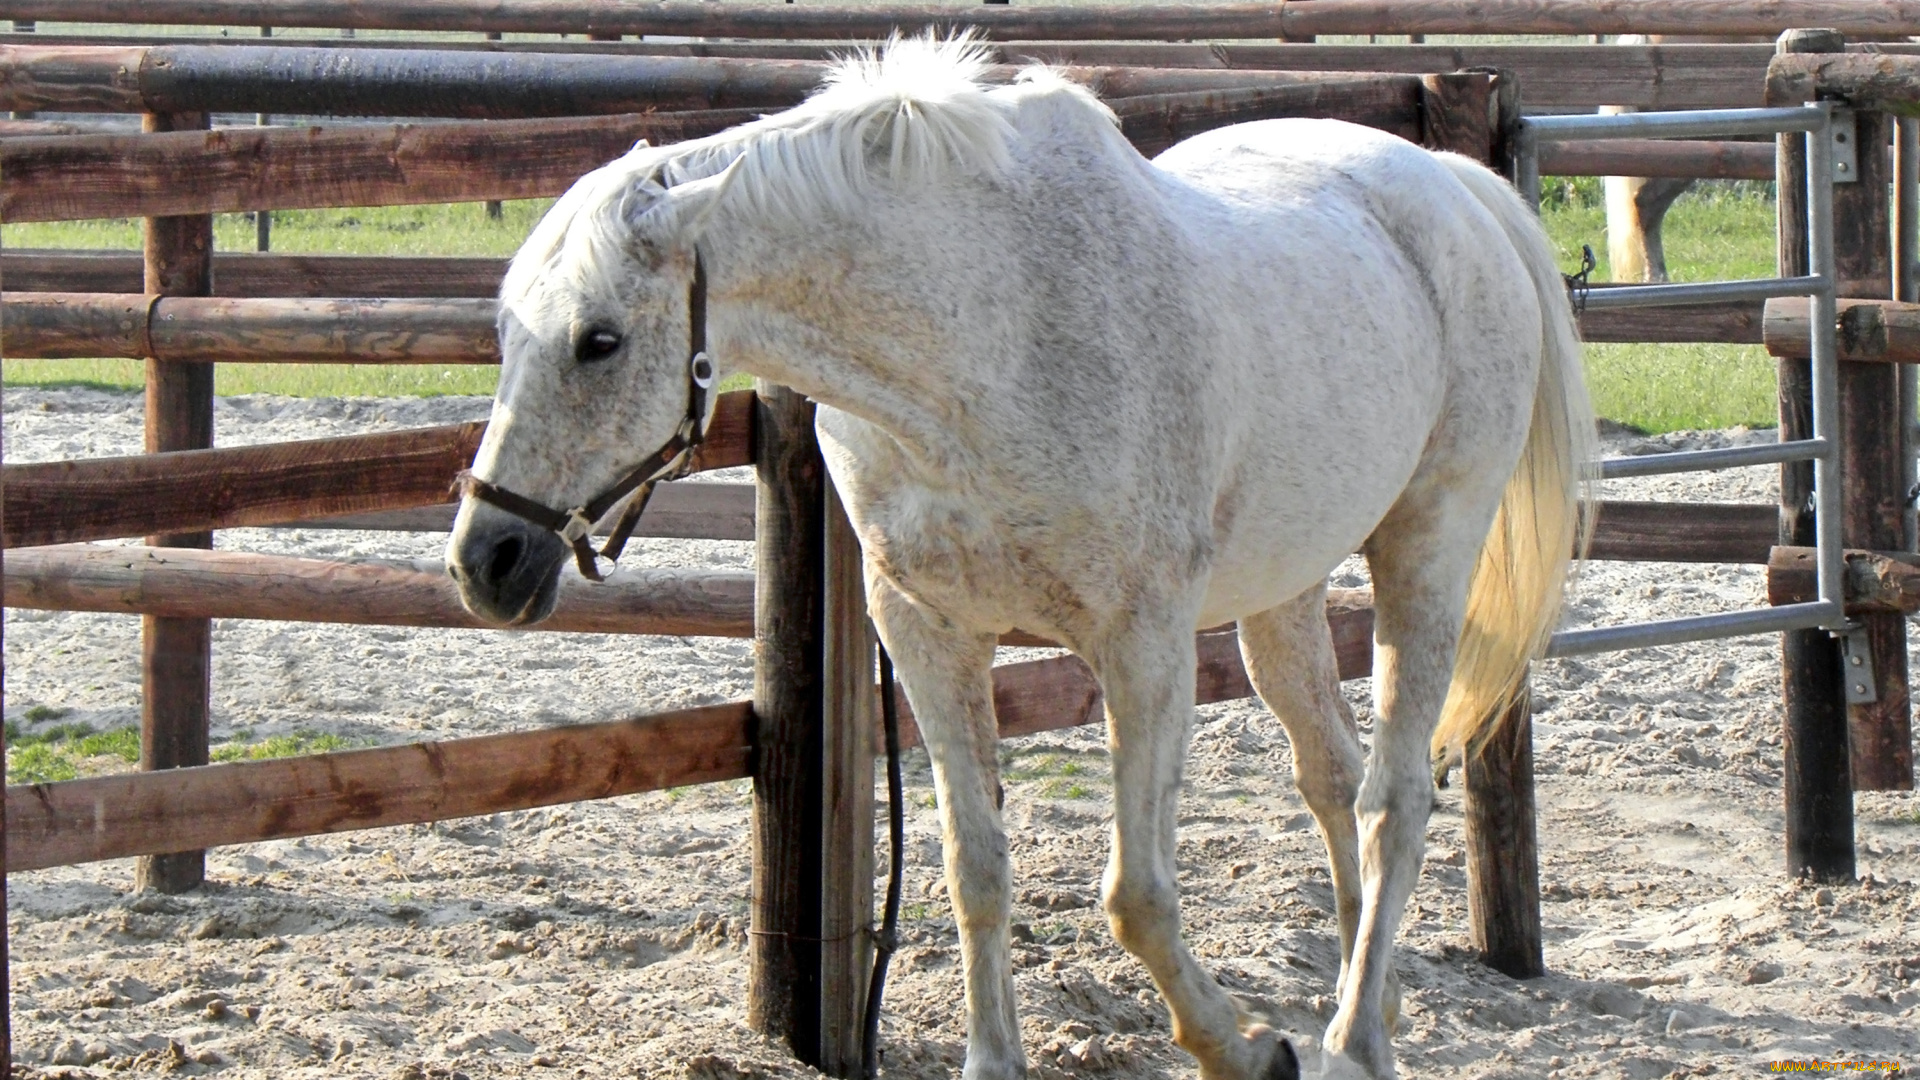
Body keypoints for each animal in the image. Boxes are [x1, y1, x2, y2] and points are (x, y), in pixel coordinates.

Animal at [445, 35, 1589, 1076]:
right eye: (505, 331)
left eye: (599, 339)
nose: (486, 560)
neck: (983, 338)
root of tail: (1447, 184)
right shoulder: (927, 633)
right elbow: (975, 870)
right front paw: (994, 1060)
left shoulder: (1142, 648)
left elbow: (1137, 896)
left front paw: (1242, 1049)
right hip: (1284, 594)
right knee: (1333, 779)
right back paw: (1374, 1003)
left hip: (1426, 552)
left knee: (1393, 800)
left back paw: (1354, 1041)